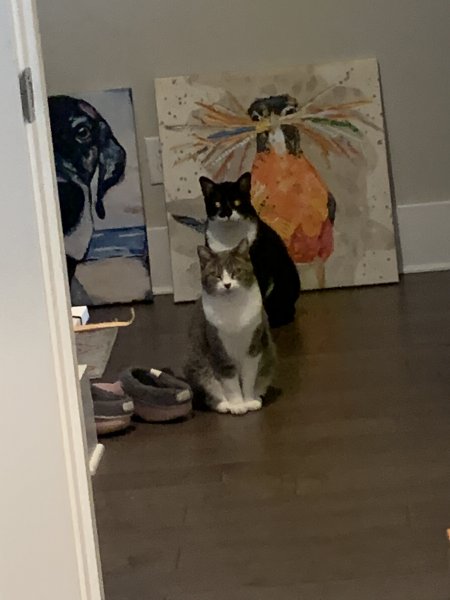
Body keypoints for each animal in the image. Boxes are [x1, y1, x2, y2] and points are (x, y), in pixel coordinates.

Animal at [184, 239, 276, 415]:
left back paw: (257, 398)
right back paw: (223, 404)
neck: (233, 307)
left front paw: (248, 401)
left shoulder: (253, 348)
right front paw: (238, 405)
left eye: (236, 271)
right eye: (216, 275)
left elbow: (248, 378)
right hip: (196, 363)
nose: (227, 284)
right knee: (210, 391)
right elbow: (230, 382)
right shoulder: (219, 350)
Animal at [199, 172, 300, 328]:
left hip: (288, 276)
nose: (227, 212)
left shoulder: (259, 264)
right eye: (217, 203)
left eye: (237, 202)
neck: (229, 237)